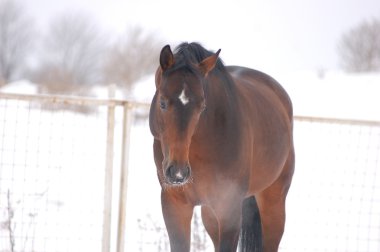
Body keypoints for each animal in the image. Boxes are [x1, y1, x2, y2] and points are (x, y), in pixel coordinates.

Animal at [148, 42, 294, 251]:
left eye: (202, 106)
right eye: (162, 103)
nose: (178, 173)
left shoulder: (229, 210)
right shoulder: (175, 206)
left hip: (273, 203)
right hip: (210, 214)